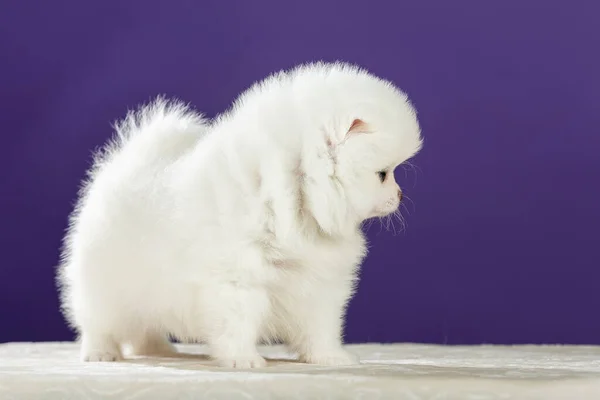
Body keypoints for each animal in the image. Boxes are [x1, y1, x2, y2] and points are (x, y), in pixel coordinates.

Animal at [56, 61, 422, 368]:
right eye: (383, 174)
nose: (401, 195)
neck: (295, 195)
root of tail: (123, 164)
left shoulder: (317, 282)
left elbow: (320, 326)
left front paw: (331, 358)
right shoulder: (237, 279)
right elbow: (238, 323)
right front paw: (243, 361)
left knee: (143, 328)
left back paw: (159, 348)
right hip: (103, 283)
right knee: (98, 323)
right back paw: (100, 353)